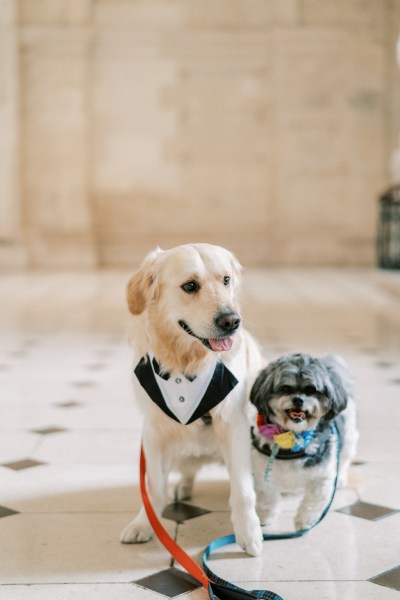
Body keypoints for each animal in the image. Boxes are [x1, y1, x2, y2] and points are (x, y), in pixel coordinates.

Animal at [122, 241, 266, 556]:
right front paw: (145, 524)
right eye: (190, 285)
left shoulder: (234, 425)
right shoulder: (154, 431)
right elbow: (153, 487)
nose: (232, 321)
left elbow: (242, 490)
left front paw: (248, 533)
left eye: (226, 280)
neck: (186, 364)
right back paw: (183, 486)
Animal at [250, 352, 360, 528]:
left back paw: (342, 478)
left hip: (349, 439)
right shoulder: (262, 473)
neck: (293, 436)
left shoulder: (322, 478)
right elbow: (267, 496)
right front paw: (263, 516)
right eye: (285, 388)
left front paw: (305, 522)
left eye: (312, 390)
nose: (298, 400)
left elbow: (313, 502)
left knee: (344, 460)